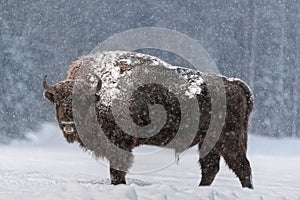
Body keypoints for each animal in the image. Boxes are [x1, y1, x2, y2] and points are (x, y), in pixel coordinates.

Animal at [42, 50, 253, 188]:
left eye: (81, 101)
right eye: (58, 101)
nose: (68, 124)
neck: (99, 95)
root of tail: (234, 83)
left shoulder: (120, 146)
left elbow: (117, 172)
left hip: (228, 140)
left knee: (241, 166)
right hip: (209, 142)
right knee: (211, 168)